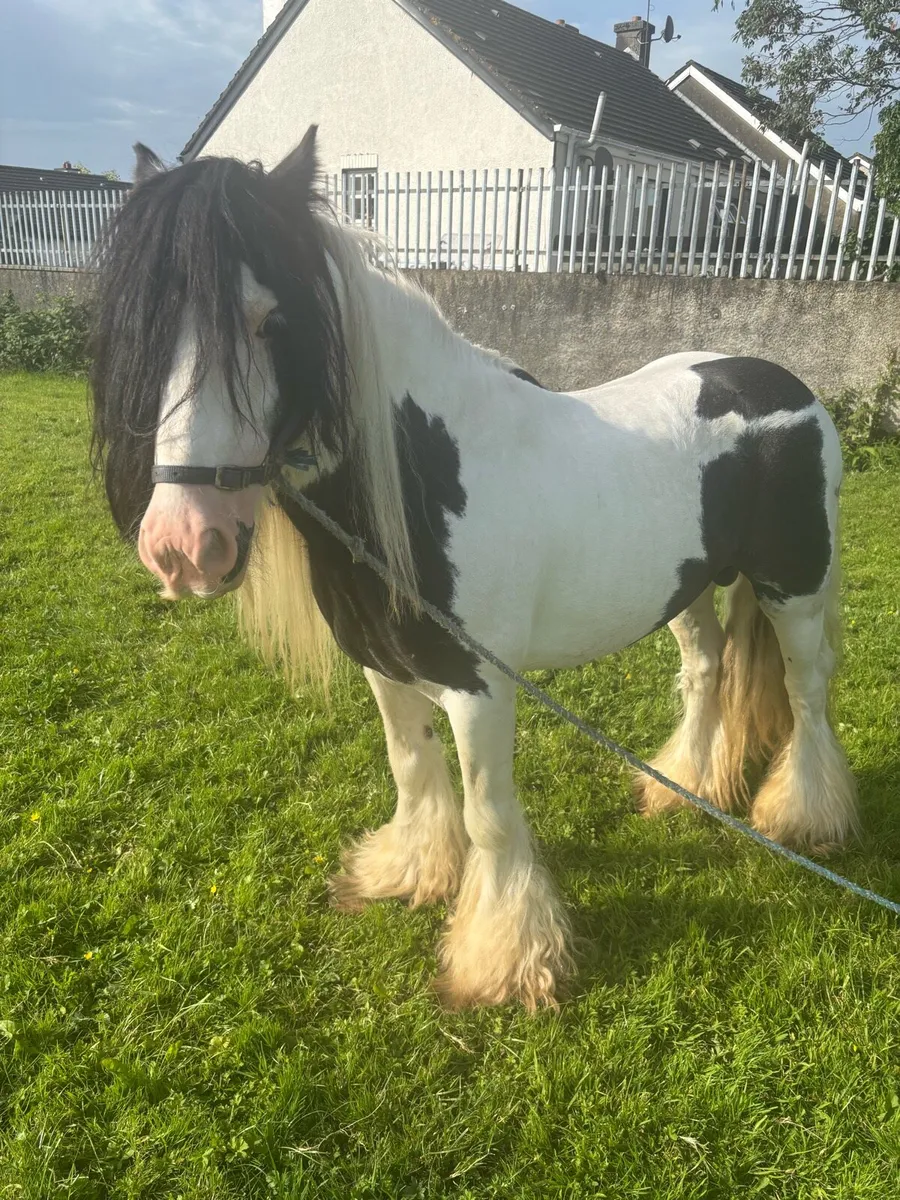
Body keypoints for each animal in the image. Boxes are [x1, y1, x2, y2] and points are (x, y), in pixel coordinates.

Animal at [90, 128, 857, 1010]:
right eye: (145, 328)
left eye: (267, 319)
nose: (185, 544)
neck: (425, 472)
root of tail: (785, 387)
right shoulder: (384, 669)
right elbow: (411, 771)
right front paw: (409, 873)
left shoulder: (481, 690)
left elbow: (489, 813)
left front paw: (503, 962)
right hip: (688, 588)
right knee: (708, 670)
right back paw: (677, 789)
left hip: (795, 588)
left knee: (806, 691)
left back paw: (804, 818)